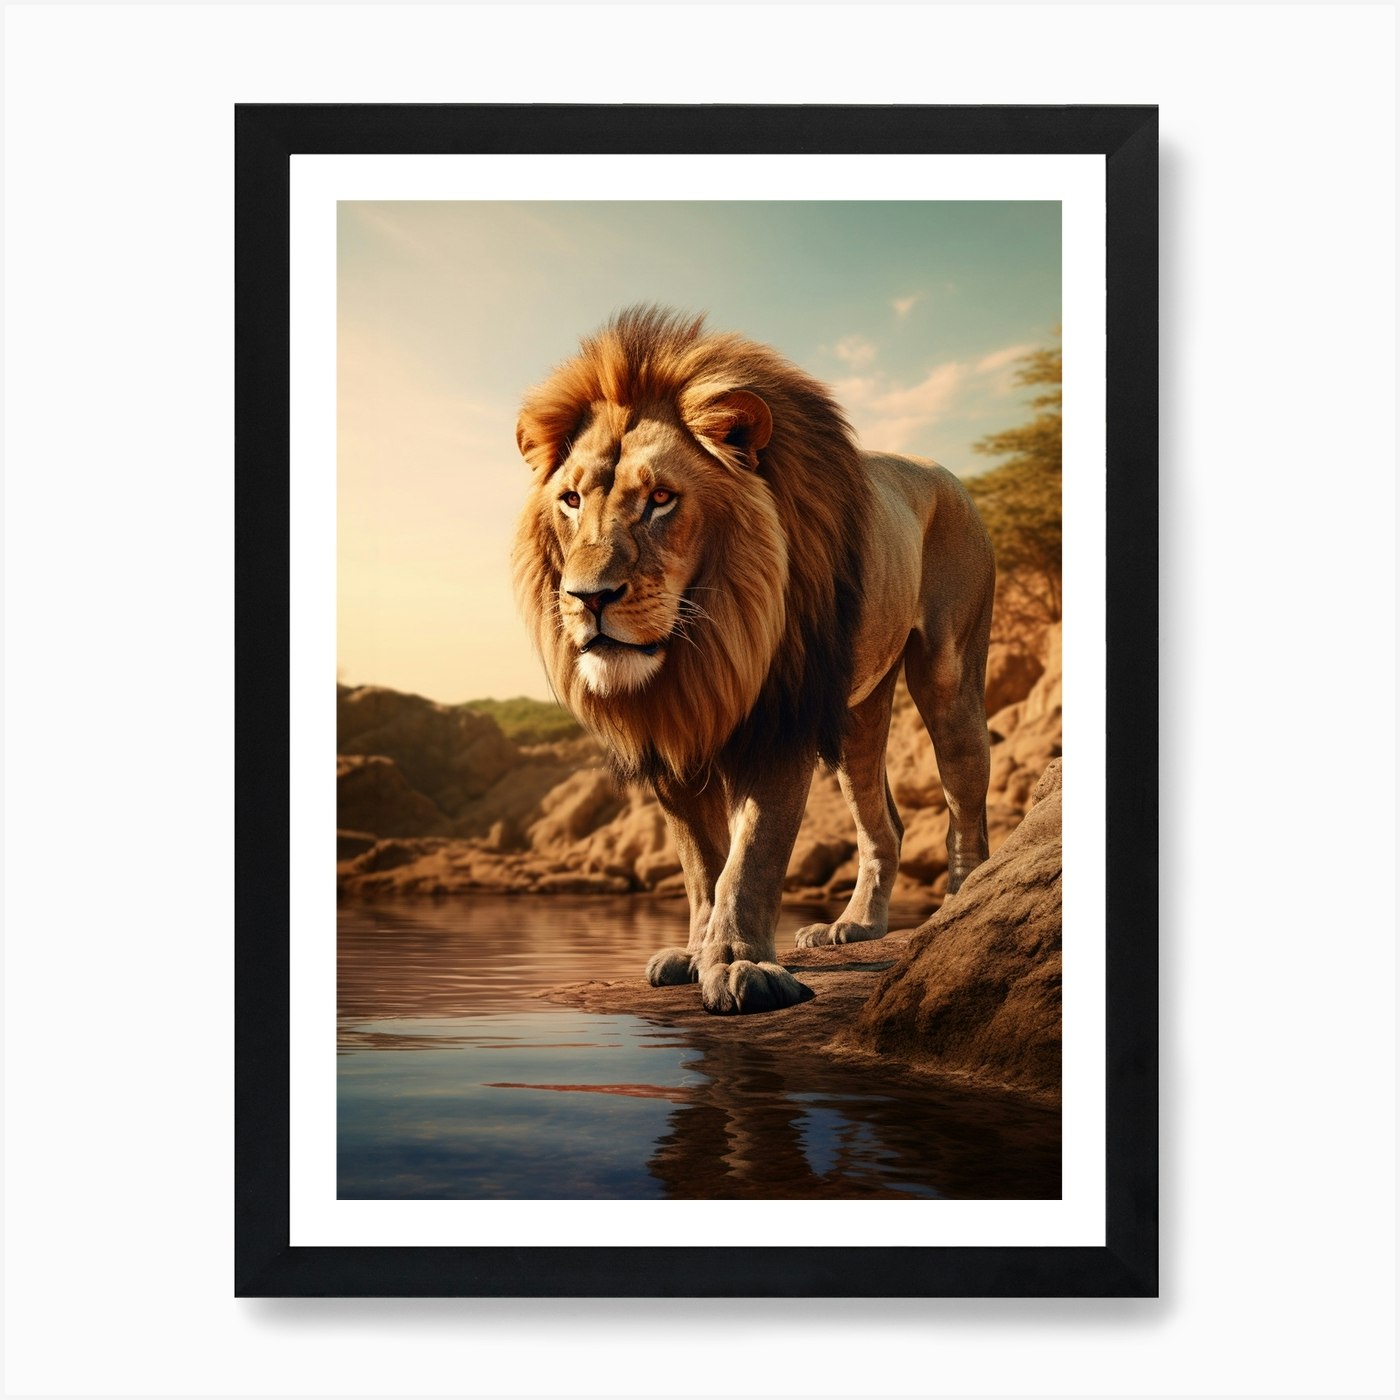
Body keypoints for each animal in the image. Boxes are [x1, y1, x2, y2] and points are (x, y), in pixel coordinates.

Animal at [513, 307, 995, 1015]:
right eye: (571, 501)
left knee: (963, 797)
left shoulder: (779, 720)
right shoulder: (669, 744)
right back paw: (855, 926)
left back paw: (959, 908)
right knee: (884, 823)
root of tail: (946, 472)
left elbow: (752, 857)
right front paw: (695, 954)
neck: (702, 651)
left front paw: (742, 965)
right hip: (857, 715)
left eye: (660, 499)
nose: (587, 597)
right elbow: (701, 864)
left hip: (948, 676)